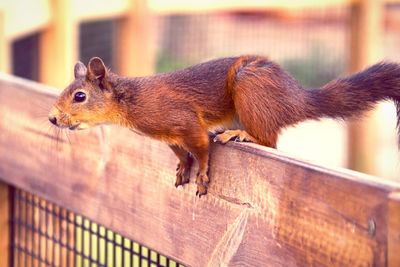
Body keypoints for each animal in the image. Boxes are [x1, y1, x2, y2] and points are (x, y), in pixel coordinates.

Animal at [49, 55, 400, 197]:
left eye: (79, 96)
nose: (53, 118)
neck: (131, 102)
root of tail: (295, 98)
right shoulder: (169, 135)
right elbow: (182, 152)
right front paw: (183, 168)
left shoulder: (185, 120)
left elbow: (202, 148)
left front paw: (202, 175)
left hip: (251, 88)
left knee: (268, 140)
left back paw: (240, 133)